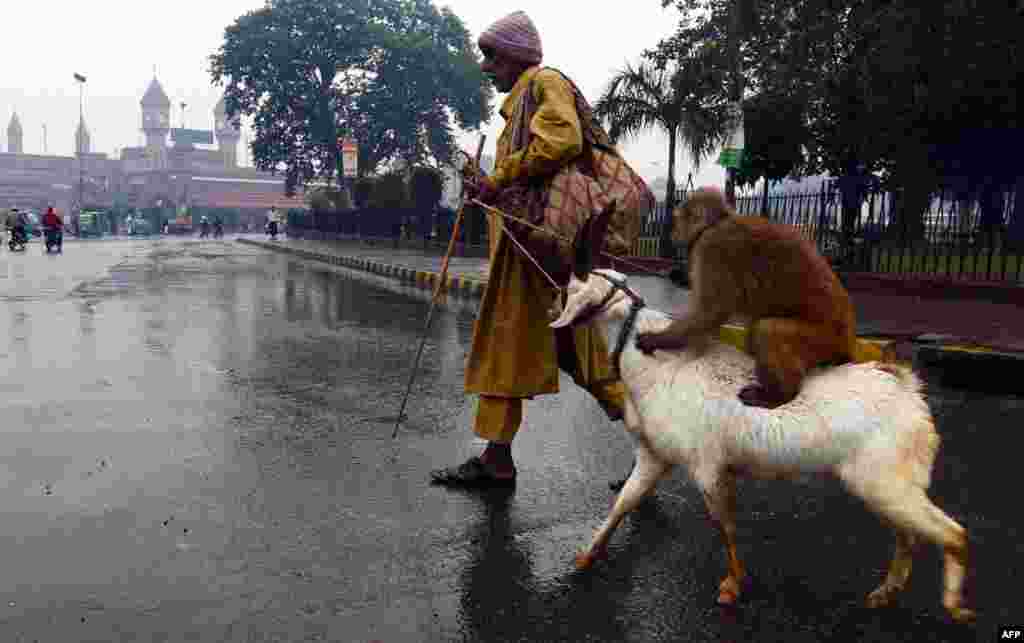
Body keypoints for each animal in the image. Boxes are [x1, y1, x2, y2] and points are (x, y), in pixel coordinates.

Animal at [552, 268, 974, 622]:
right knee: (908, 535)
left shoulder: (707, 466)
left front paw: (732, 587)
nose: (554, 304)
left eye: (576, 287)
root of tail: (908, 389)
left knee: (952, 532)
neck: (657, 368)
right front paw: (586, 556)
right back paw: (885, 592)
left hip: (884, 479)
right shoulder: (654, 456)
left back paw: (954, 605)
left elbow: (724, 524)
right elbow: (624, 502)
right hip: (883, 483)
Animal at [634, 187, 860, 407]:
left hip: (825, 340)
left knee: (767, 330)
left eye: (677, 220)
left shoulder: (712, 247)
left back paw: (780, 395)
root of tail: (847, 343)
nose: (673, 233)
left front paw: (658, 340)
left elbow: (709, 313)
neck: (717, 223)